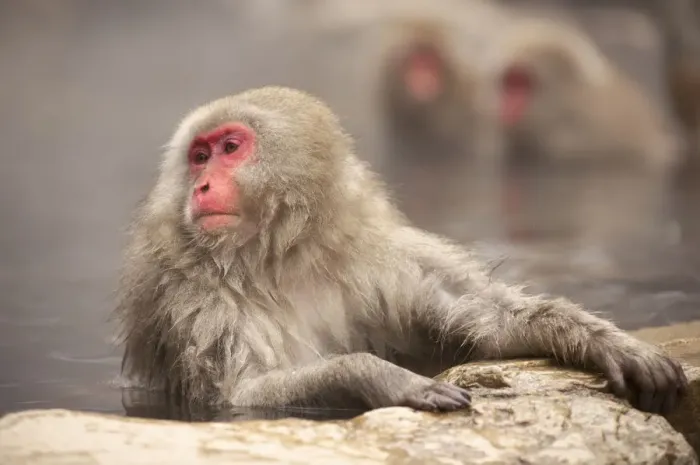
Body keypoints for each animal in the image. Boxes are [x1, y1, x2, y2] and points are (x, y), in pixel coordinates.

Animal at [115, 86, 687, 416]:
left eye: (230, 148)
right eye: (199, 156)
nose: (201, 187)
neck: (282, 255)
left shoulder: (379, 258)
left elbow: (484, 321)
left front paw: (611, 345)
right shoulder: (191, 293)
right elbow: (242, 395)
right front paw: (381, 378)